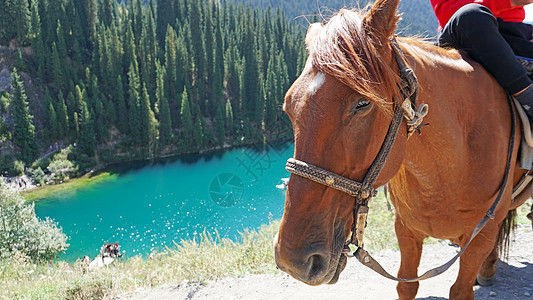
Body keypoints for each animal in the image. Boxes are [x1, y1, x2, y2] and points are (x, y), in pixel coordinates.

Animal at [272, 0, 528, 298]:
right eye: (289, 106)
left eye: (363, 104)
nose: (293, 258)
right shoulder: (405, 228)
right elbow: (407, 284)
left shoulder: (481, 236)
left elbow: (460, 289)